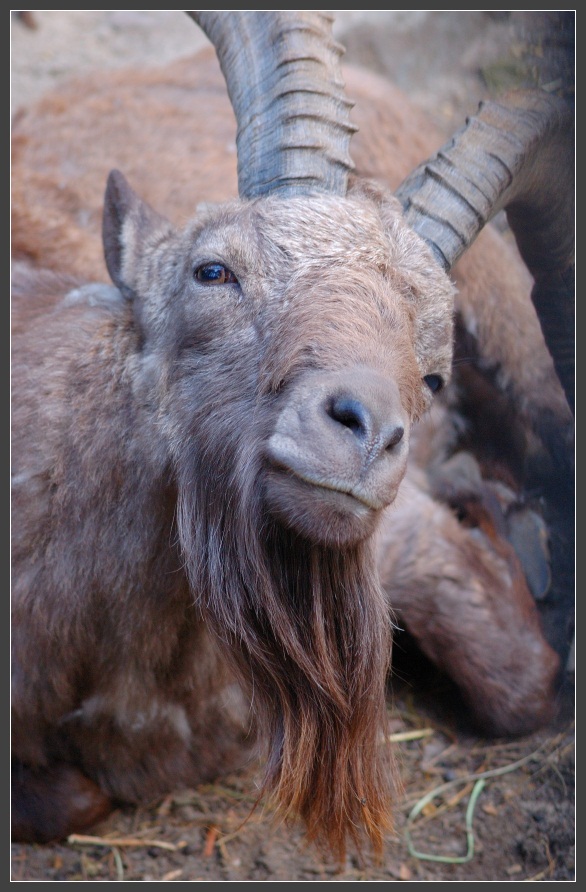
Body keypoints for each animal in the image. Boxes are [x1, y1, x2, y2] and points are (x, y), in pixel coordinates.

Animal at [11, 10, 572, 860]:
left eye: (433, 374)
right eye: (214, 271)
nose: (364, 434)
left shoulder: (397, 535)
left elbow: (517, 681)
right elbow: (75, 798)